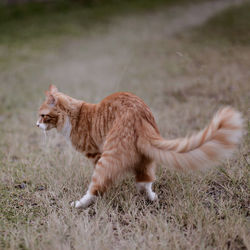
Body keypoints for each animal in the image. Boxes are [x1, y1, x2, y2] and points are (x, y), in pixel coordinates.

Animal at [36, 85, 243, 208]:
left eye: (43, 116)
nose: (36, 125)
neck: (75, 115)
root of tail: (140, 115)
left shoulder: (95, 154)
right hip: (146, 158)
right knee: (145, 180)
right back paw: (150, 197)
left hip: (109, 156)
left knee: (97, 187)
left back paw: (79, 203)